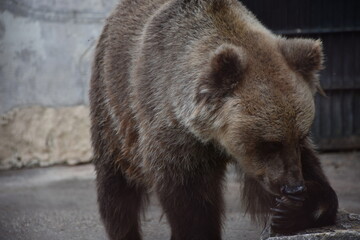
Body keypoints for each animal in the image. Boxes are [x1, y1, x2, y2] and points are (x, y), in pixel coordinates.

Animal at [89, 0, 338, 240]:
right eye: (269, 143)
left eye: (302, 135)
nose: (294, 188)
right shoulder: (173, 132)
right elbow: (190, 200)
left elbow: (312, 171)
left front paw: (295, 209)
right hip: (113, 105)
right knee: (116, 185)